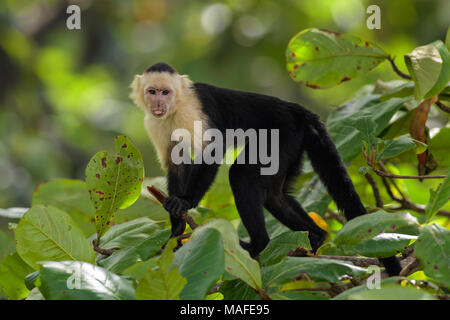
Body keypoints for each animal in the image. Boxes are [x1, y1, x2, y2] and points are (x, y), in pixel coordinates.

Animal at [129, 62, 400, 276]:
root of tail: (297, 110)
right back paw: (315, 238)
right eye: (152, 92)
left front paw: (186, 202)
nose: (158, 102)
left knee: (241, 177)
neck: (174, 109)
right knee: (274, 196)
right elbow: (175, 161)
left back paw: (258, 244)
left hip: (281, 134)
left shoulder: (192, 110)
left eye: (166, 92)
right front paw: (176, 229)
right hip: (293, 145)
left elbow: (212, 150)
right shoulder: (154, 123)